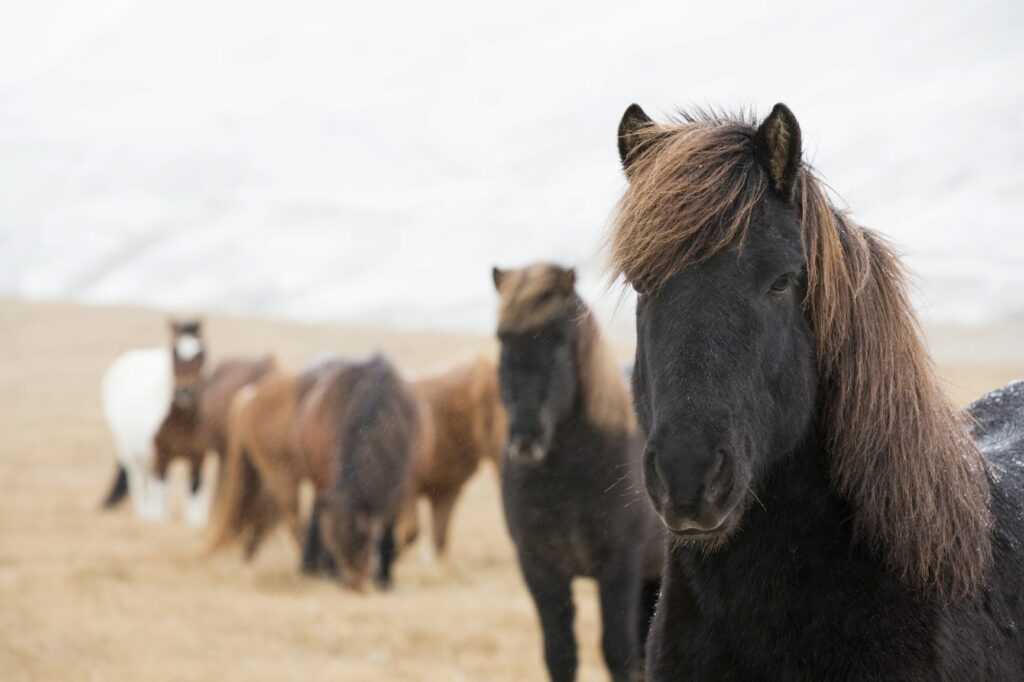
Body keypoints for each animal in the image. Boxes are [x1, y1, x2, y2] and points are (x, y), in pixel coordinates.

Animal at [100, 315, 204, 518]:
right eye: (174, 352)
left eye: (201, 352)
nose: (185, 392)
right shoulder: (161, 460)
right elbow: (159, 504)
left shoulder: (197, 459)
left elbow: (194, 507)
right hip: (132, 455)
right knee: (138, 486)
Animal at [211, 352, 428, 585]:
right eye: (339, 547)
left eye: (366, 539)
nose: (355, 584)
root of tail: (247, 399)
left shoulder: (403, 485)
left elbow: (402, 528)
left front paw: (385, 576)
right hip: (286, 475)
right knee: (295, 519)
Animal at [491, 261, 659, 679]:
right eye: (502, 338)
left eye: (557, 340)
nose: (526, 437)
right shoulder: (540, 569)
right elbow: (560, 653)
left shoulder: (619, 568)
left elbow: (618, 652)